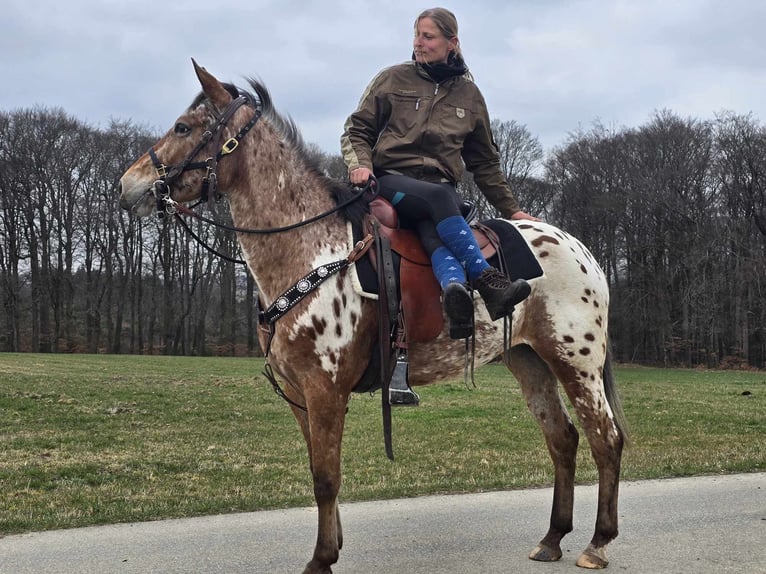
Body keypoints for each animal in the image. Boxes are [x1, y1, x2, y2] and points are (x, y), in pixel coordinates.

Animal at [115, 60, 632, 572]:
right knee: (563, 439)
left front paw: (322, 558)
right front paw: (333, 546)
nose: (127, 185)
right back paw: (553, 537)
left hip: (576, 363)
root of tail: (582, 250)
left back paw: (597, 542)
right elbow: (319, 469)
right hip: (530, 362)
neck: (313, 249)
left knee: (605, 439)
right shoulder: (300, 393)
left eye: (183, 127)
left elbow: (326, 476)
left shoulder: (325, 389)